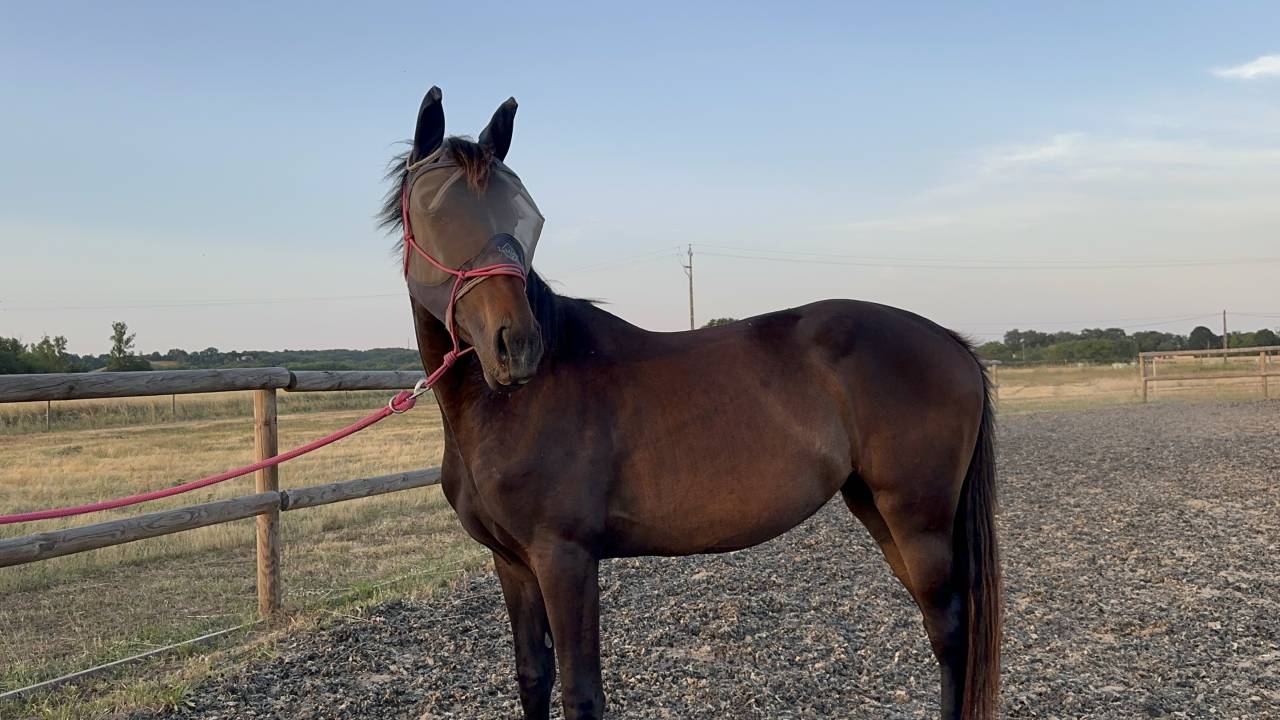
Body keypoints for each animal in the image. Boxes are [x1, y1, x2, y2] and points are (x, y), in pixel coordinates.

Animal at [380, 86, 1001, 720]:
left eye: (528, 215)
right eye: (434, 210)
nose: (518, 346)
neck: (507, 407)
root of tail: (950, 340)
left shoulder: (564, 559)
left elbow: (581, 693)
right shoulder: (513, 564)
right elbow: (534, 677)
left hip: (918, 519)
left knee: (949, 632)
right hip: (878, 509)